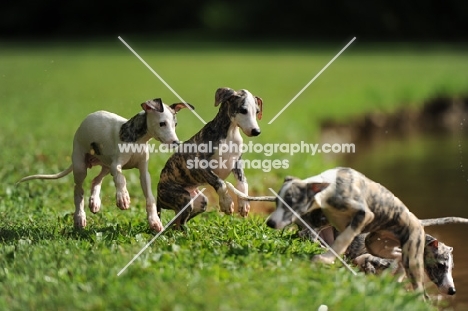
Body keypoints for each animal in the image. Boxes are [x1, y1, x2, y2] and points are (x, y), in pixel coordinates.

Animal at [16, 98, 192, 233]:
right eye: (162, 123)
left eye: (175, 124)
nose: (176, 143)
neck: (138, 139)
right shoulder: (116, 165)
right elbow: (121, 179)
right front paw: (123, 198)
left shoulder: (143, 171)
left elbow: (149, 197)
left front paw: (154, 221)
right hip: (81, 165)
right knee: (78, 190)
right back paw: (79, 218)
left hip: (105, 165)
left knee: (96, 180)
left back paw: (94, 202)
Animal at [158, 88, 264, 229]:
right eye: (243, 110)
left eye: (257, 111)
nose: (256, 131)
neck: (230, 134)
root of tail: (158, 192)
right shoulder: (201, 164)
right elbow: (220, 182)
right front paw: (226, 203)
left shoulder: (237, 162)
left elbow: (243, 182)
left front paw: (244, 204)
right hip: (182, 197)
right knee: (179, 223)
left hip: (199, 202)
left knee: (177, 222)